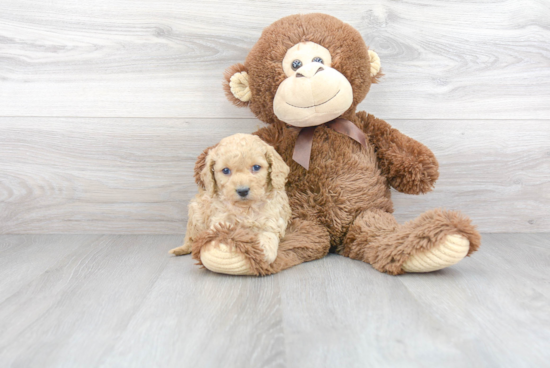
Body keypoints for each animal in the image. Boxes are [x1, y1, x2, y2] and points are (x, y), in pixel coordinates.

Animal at [169, 134, 294, 274]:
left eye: (256, 167)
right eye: (226, 170)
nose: (243, 190)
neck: (246, 208)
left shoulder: (271, 220)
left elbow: (268, 235)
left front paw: (264, 251)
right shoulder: (220, 219)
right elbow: (222, 231)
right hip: (196, 212)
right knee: (191, 238)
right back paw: (182, 249)